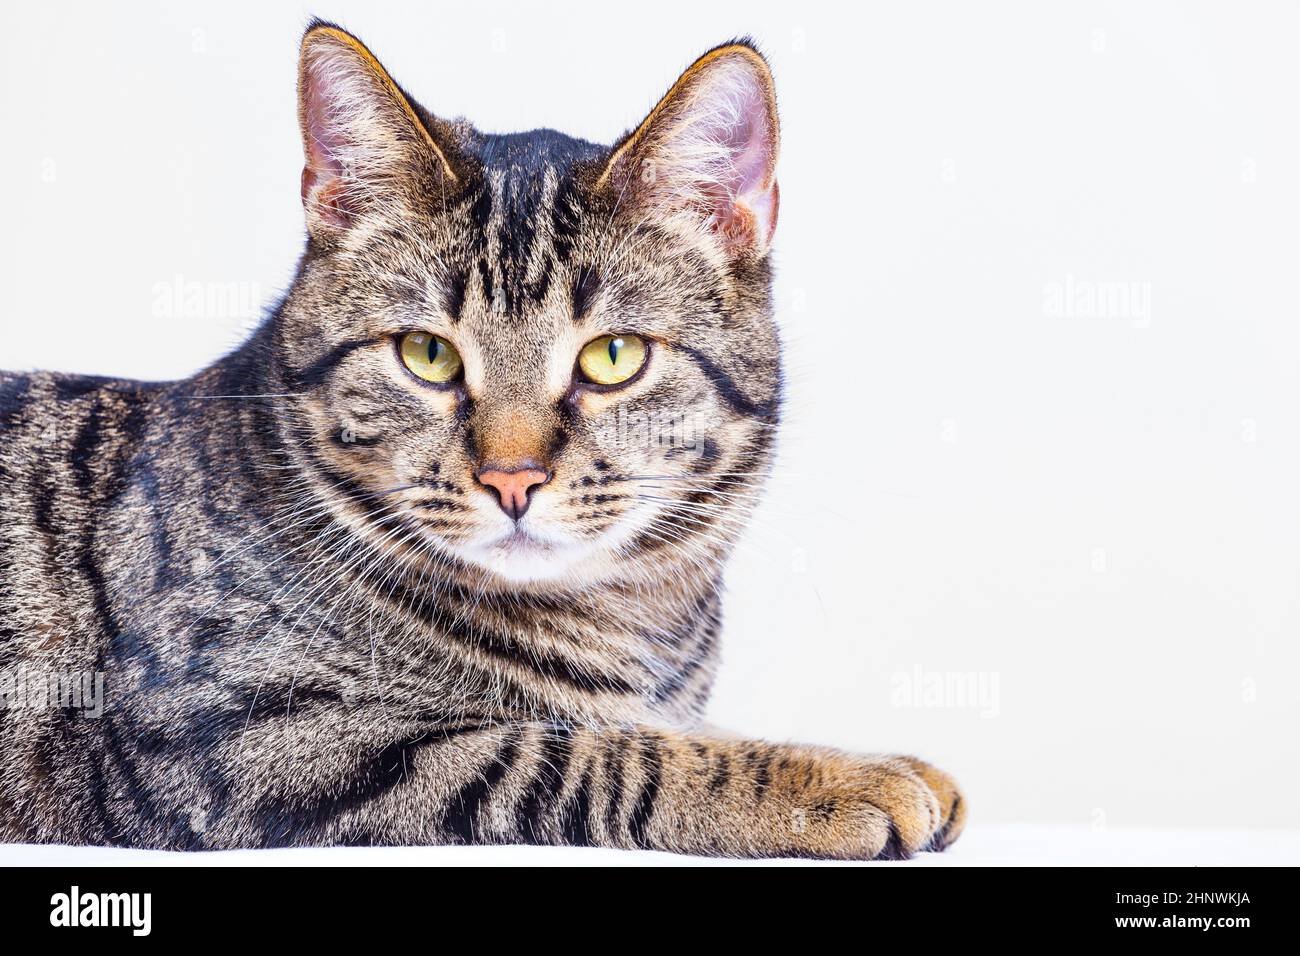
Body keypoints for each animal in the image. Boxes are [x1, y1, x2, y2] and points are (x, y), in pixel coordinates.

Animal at [0, 24, 961, 858]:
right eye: (427, 355)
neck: (631, 623)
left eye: (613, 357)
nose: (512, 478)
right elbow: (593, 750)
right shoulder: (252, 741)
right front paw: (826, 781)